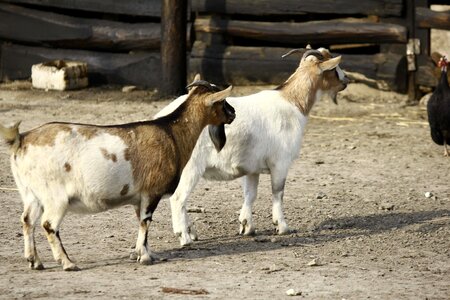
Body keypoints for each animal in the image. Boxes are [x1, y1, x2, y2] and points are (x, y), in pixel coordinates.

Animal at [0, 81, 232, 270]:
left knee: (27, 220)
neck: (171, 133)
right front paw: (145, 257)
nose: (233, 113)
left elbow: (141, 223)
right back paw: (67, 263)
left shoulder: (139, 198)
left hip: (30, 193)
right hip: (55, 196)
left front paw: (144, 252)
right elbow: (146, 222)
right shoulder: (151, 192)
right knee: (48, 225)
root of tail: (22, 139)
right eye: (222, 101)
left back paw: (35, 261)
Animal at [156, 47, 350, 245]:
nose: (346, 79)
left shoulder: (251, 168)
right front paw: (282, 226)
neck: (293, 103)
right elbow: (278, 192)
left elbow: (250, 194)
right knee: (178, 198)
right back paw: (184, 236)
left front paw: (246, 226)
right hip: (191, 167)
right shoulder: (280, 162)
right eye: (334, 68)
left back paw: (192, 232)